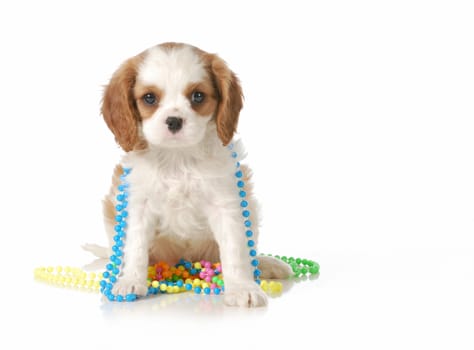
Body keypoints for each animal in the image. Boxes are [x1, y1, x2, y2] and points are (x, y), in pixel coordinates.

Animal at [86, 43, 290, 306]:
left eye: (198, 96)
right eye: (149, 98)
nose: (174, 121)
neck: (177, 157)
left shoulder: (226, 203)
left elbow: (235, 250)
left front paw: (242, 287)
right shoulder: (138, 205)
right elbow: (136, 246)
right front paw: (130, 281)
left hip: (250, 210)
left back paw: (265, 264)